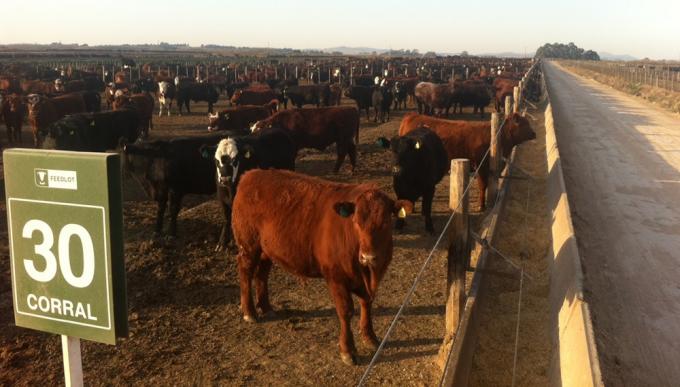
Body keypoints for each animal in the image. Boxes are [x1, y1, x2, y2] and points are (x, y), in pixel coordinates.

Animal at [231, 170, 412, 366]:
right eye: (356, 222)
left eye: (386, 222)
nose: (368, 257)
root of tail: (251, 174)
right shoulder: (336, 278)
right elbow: (346, 311)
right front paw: (348, 350)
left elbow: (366, 302)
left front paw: (369, 336)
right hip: (248, 245)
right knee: (246, 271)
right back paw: (249, 311)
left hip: (267, 249)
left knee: (262, 273)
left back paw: (266, 307)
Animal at [398, 112, 536, 209]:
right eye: (524, 124)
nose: (534, 133)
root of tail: (412, 115)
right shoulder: (481, 167)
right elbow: (483, 185)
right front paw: (481, 206)